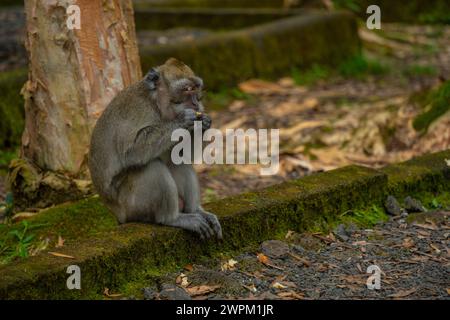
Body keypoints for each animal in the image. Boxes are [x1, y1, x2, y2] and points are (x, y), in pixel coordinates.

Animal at [88, 57, 221, 239]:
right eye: (187, 89)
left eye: (196, 89)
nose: (197, 102)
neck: (156, 105)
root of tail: (118, 215)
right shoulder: (137, 109)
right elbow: (130, 152)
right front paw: (184, 120)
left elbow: (180, 154)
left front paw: (203, 124)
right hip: (132, 206)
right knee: (152, 167)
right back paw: (172, 219)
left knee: (177, 163)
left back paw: (195, 211)